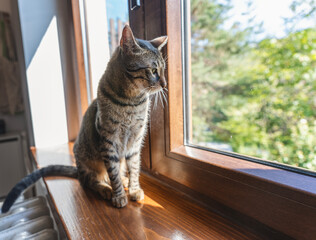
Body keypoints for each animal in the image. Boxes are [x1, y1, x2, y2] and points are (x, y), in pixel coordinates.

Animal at [1, 25, 169, 213]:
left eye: (163, 70)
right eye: (153, 71)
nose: (165, 84)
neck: (132, 102)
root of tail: (78, 168)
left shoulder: (135, 141)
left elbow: (134, 168)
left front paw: (133, 189)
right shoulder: (108, 141)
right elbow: (113, 174)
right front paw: (119, 195)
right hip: (87, 162)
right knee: (90, 181)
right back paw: (106, 189)